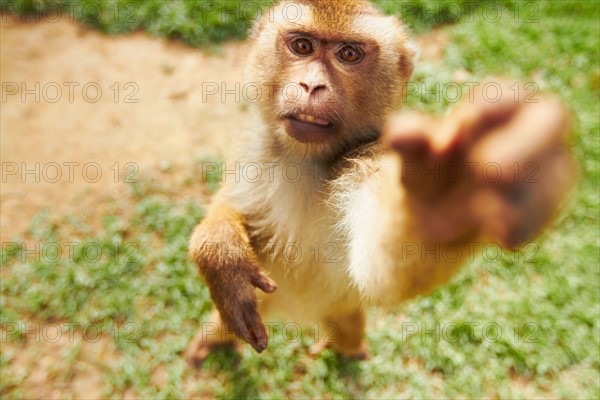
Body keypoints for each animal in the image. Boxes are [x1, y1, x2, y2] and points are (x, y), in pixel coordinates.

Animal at [185, 0, 576, 362]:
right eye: (302, 46)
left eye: (349, 54)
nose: (311, 85)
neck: (310, 160)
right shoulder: (256, 147)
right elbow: (234, 203)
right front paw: (219, 251)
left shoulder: (370, 160)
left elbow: (382, 270)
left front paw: (444, 205)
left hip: (338, 308)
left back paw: (347, 347)